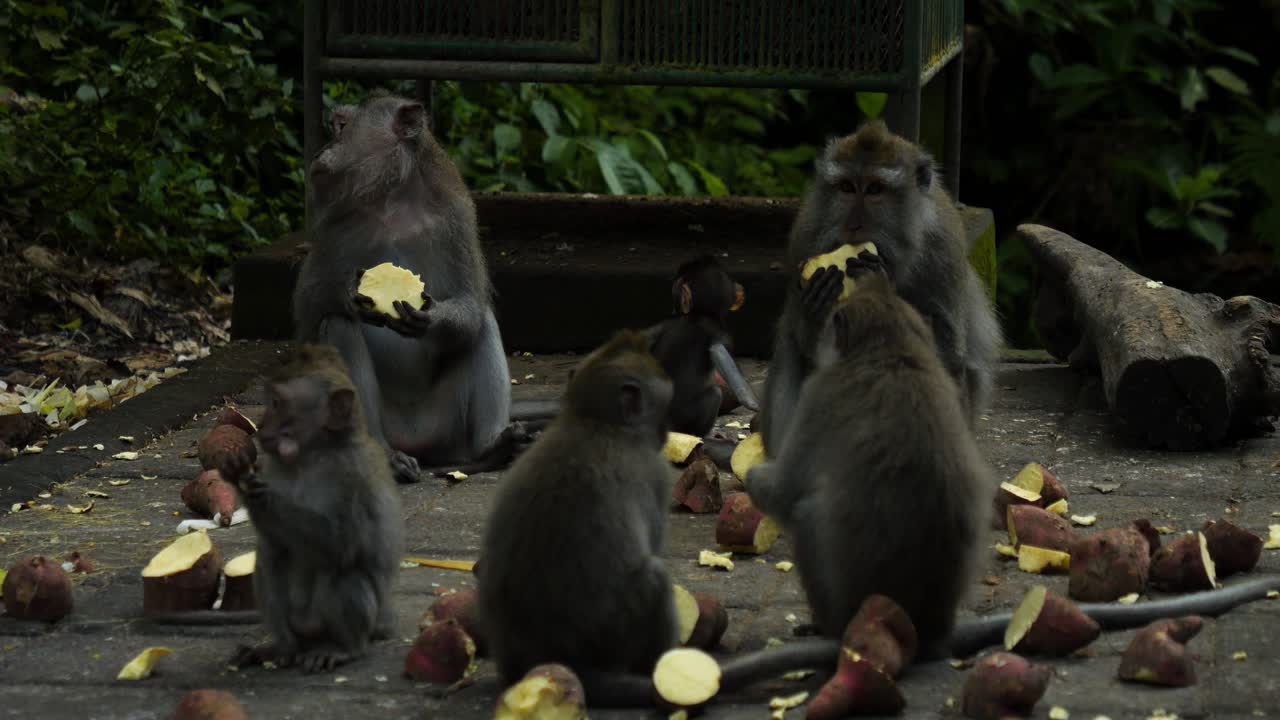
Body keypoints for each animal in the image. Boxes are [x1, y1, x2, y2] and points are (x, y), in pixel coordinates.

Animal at [212, 344, 403, 673]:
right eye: (270, 401)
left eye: (278, 403)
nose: (261, 426)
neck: (313, 453)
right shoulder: (275, 464)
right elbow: (275, 543)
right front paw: (237, 474)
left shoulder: (353, 473)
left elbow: (342, 544)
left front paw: (262, 494)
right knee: (269, 560)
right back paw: (281, 647)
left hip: (347, 624)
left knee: (346, 574)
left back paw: (344, 648)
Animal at [292, 90, 515, 484]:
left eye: (342, 127)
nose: (321, 151)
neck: (392, 201)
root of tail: (415, 440)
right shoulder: (336, 225)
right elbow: (307, 309)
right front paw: (347, 294)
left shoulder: (456, 219)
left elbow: (470, 305)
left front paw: (434, 319)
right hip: (388, 422)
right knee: (339, 328)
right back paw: (385, 455)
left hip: (446, 426)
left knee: (482, 324)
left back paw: (491, 448)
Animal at [476, 329, 681, 706]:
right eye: (664, 406)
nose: (666, 431)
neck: (592, 420)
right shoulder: (657, 474)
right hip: (614, 638)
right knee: (656, 577)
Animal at [757, 119, 1002, 457]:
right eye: (847, 187)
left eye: (875, 189)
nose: (853, 226)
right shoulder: (805, 237)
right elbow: (806, 345)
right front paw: (817, 304)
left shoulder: (944, 247)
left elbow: (950, 351)